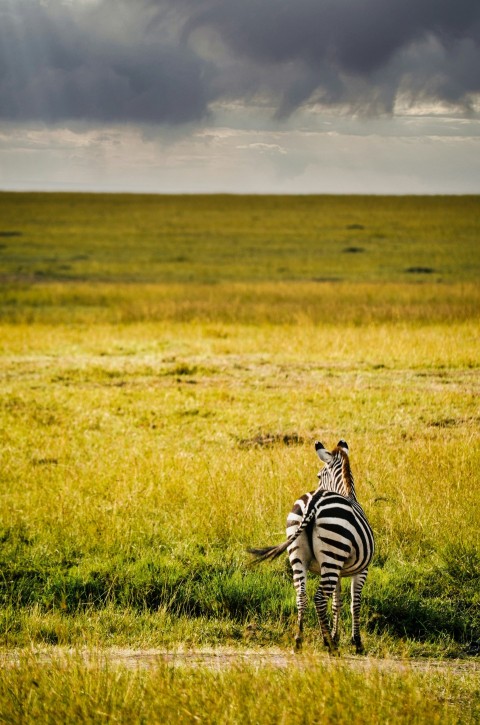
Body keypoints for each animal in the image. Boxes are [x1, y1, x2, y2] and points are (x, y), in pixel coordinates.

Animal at [248, 438, 376, 652]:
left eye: (318, 476)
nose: (316, 484)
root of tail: (313, 502)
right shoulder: (362, 570)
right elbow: (354, 604)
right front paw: (356, 642)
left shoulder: (341, 571)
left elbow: (337, 602)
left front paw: (337, 635)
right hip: (332, 555)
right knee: (319, 598)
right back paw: (329, 645)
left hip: (298, 553)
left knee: (302, 596)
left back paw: (299, 640)